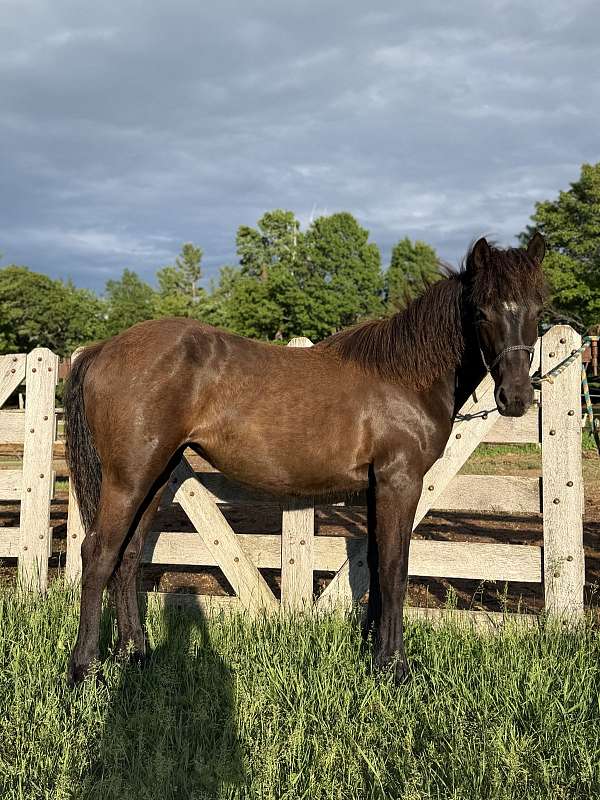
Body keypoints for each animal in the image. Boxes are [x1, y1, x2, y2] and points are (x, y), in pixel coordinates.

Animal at [64, 233, 547, 686]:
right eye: (481, 311)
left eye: (538, 311)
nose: (516, 398)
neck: (404, 375)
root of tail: (103, 349)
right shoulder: (400, 482)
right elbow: (395, 568)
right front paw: (395, 668)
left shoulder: (377, 488)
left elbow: (375, 563)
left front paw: (372, 652)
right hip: (128, 479)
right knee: (99, 553)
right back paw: (83, 670)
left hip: (158, 475)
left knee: (128, 557)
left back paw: (135, 655)